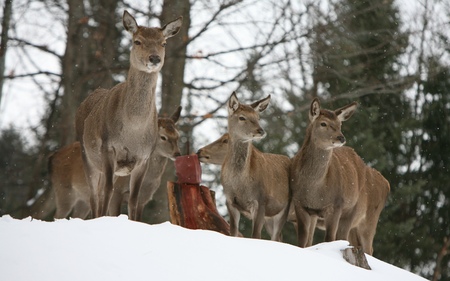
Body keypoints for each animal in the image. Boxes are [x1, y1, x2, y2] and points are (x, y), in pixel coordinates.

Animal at [50, 107, 181, 219]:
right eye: (163, 137)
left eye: (177, 136)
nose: (177, 154)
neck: (148, 182)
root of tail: (52, 156)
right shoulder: (117, 192)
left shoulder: (144, 199)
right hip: (64, 191)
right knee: (57, 216)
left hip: (82, 200)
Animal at [75, 11, 183, 219]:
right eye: (137, 41)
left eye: (164, 43)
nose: (154, 58)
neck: (133, 130)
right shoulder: (109, 148)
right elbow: (108, 191)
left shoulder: (143, 158)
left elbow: (134, 199)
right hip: (87, 155)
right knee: (95, 194)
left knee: (99, 191)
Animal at [221, 92, 292, 241]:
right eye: (242, 117)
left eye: (258, 117)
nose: (261, 131)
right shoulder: (230, 201)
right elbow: (233, 232)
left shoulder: (260, 201)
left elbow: (255, 236)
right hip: (269, 216)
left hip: (284, 208)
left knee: (276, 236)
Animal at [288, 98, 390, 254]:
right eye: (323, 123)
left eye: (339, 124)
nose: (341, 138)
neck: (314, 191)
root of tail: (387, 184)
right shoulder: (301, 205)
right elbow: (303, 242)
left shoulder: (336, 205)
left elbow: (329, 239)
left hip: (362, 215)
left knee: (364, 246)